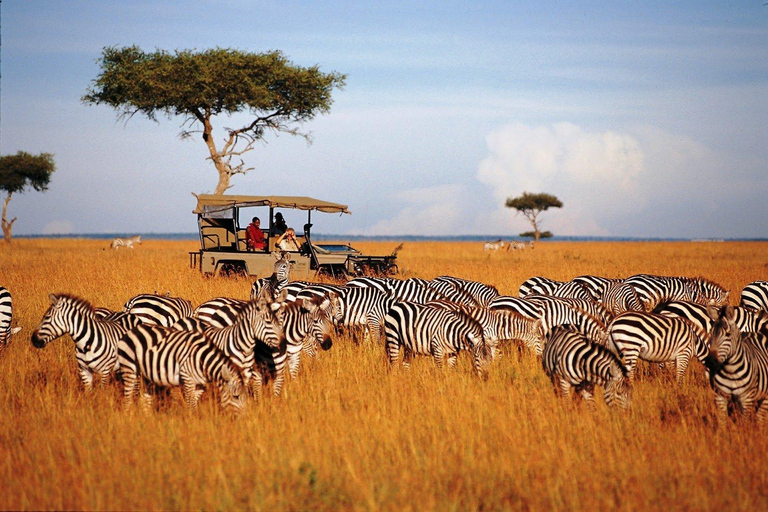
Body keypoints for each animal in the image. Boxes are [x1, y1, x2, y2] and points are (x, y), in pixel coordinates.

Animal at [116, 326, 246, 414]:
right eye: (235, 397)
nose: (243, 420)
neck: (202, 360)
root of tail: (131, 331)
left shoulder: (200, 385)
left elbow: (193, 402)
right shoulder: (187, 378)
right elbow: (191, 405)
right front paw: (193, 424)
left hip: (146, 375)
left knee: (145, 399)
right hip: (129, 368)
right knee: (127, 398)